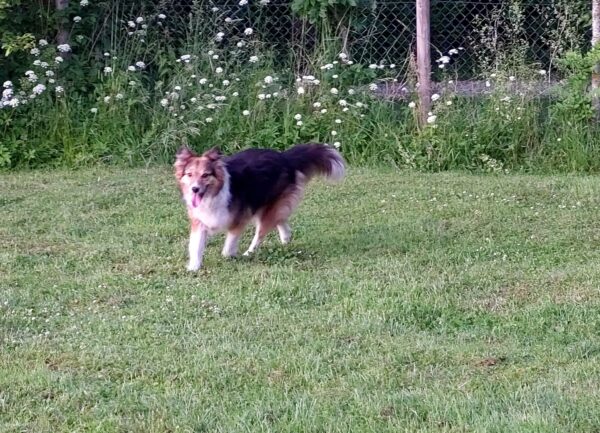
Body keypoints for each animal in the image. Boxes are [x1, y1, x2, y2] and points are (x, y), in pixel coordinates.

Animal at [174, 143, 345, 271]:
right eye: (189, 174)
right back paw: (285, 240)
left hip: (266, 207)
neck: (213, 194)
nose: (195, 189)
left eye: (205, 175)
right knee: (281, 220)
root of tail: (284, 157)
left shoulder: (239, 219)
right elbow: (196, 246)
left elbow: (228, 246)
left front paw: (228, 257)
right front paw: (193, 268)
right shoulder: (199, 222)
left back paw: (249, 253)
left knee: (261, 232)